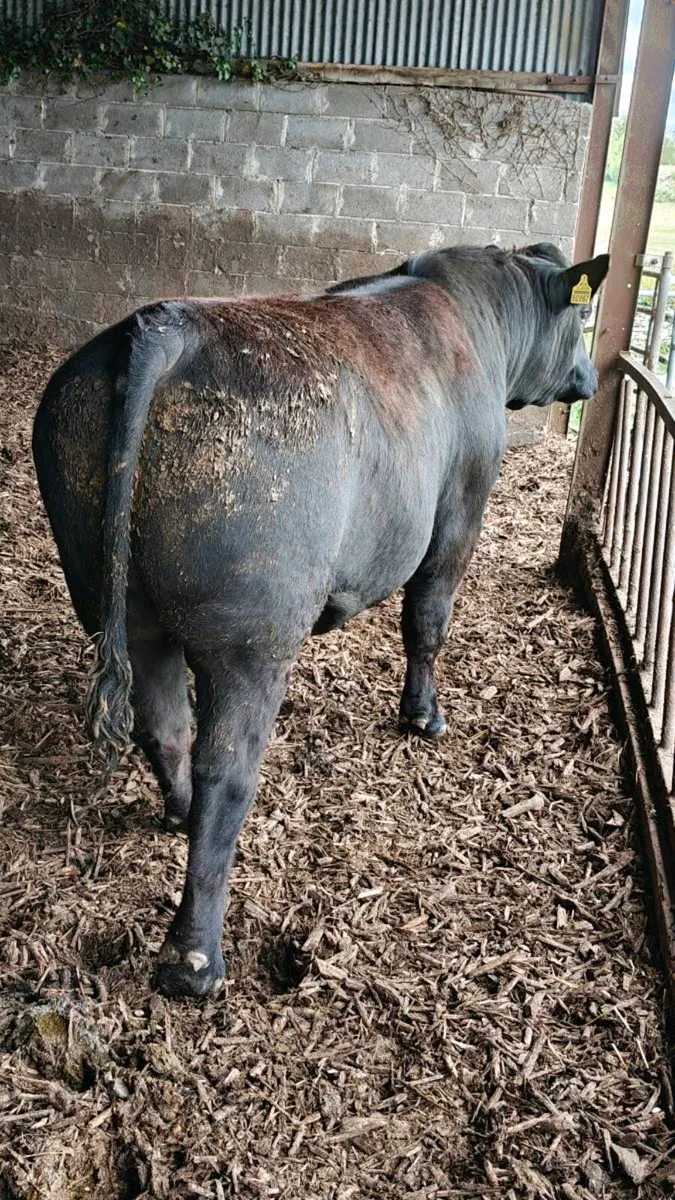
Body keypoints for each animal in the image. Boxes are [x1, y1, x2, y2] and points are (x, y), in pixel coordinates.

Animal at [32, 241, 609, 998]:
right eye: (580, 320)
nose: (591, 376)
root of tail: (165, 325)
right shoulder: (460, 508)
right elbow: (427, 620)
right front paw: (423, 716)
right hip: (252, 637)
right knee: (226, 767)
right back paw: (194, 958)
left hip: (122, 610)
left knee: (165, 726)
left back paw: (177, 815)